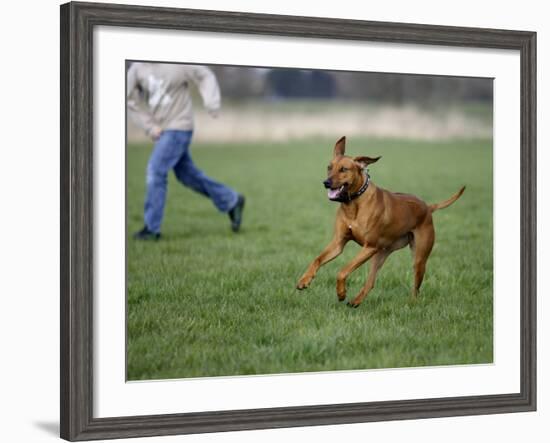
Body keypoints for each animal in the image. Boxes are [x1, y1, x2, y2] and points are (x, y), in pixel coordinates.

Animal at [298, 137, 466, 306]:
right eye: (329, 167)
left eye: (344, 169)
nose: (326, 182)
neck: (354, 203)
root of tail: (428, 207)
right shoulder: (339, 243)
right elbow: (317, 259)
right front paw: (304, 279)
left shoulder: (369, 246)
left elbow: (343, 270)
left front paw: (341, 293)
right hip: (380, 254)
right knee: (371, 282)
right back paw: (356, 301)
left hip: (418, 258)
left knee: (416, 287)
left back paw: (411, 303)